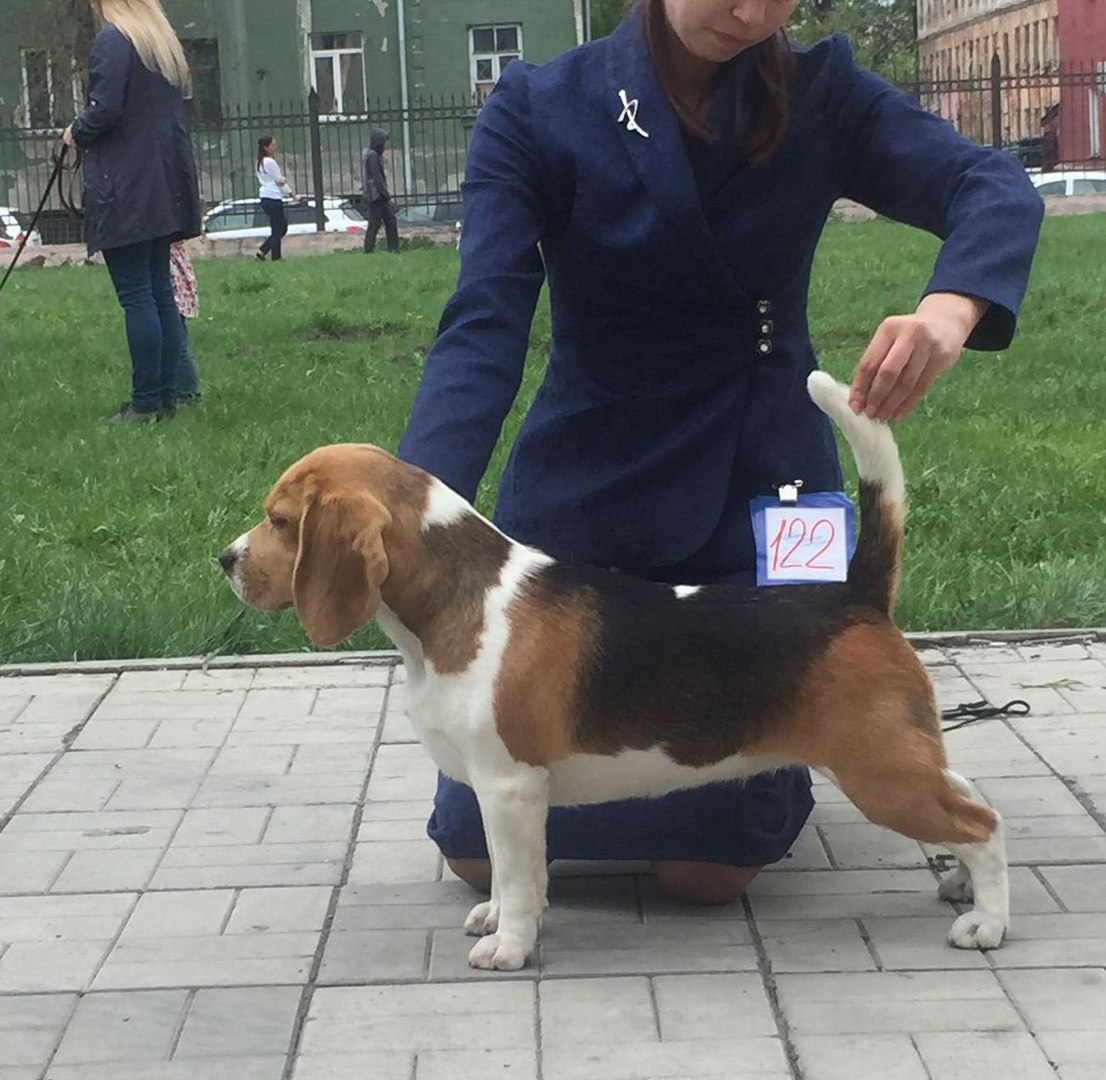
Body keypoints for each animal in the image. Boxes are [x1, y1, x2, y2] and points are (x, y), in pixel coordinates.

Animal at [219, 372, 1008, 970]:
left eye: (280, 520)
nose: (225, 560)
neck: (457, 604)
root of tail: (856, 596)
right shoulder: (494, 793)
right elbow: (503, 868)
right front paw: (496, 917)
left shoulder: (510, 787)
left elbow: (520, 874)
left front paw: (509, 947)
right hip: (901, 758)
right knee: (968, 794)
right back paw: (959, 888)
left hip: (879, 771)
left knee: (985, 824)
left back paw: (986, 923)